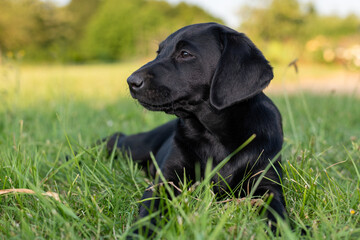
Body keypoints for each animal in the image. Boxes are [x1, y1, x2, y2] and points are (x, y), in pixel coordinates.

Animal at [105, 22, 286, 234]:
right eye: (159, 52)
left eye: (185, 53)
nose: (131, 82)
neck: (213, 134)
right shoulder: (166, 180)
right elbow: (150, 211)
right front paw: (138, 234)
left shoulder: (266, 180)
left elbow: (277, 213)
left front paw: (287, 231)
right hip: (134, 148)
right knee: (113, 139)